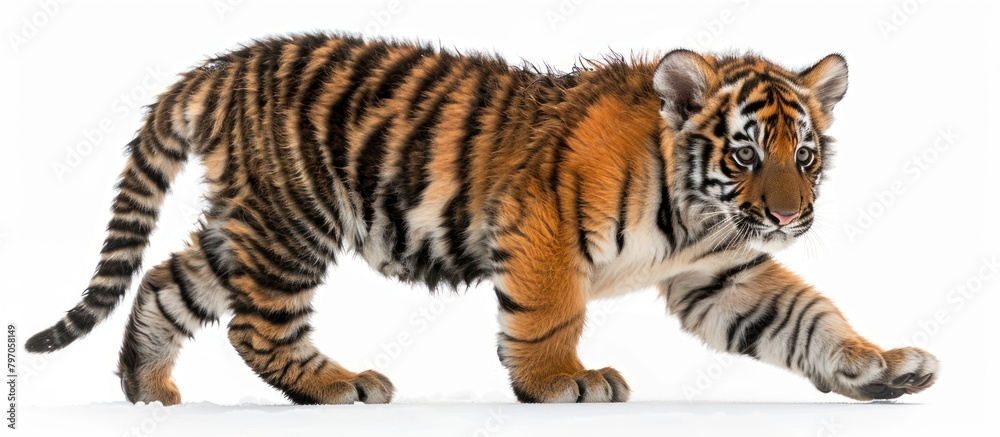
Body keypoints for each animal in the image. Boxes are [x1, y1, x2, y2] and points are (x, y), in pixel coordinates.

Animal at [26, 32, 938, 405]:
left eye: (805, 156)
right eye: (747, 155)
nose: (789, 215)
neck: (700, 211)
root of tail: (219, 68)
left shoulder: (721, 275)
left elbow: (805, 317)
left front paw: (880, 367)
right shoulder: (544, 226)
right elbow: (549, 314)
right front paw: (561, 381)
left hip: (247, 226)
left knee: (165, 281)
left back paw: (148, 390)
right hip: (293, 223)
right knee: (259, 328)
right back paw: (338, 385)